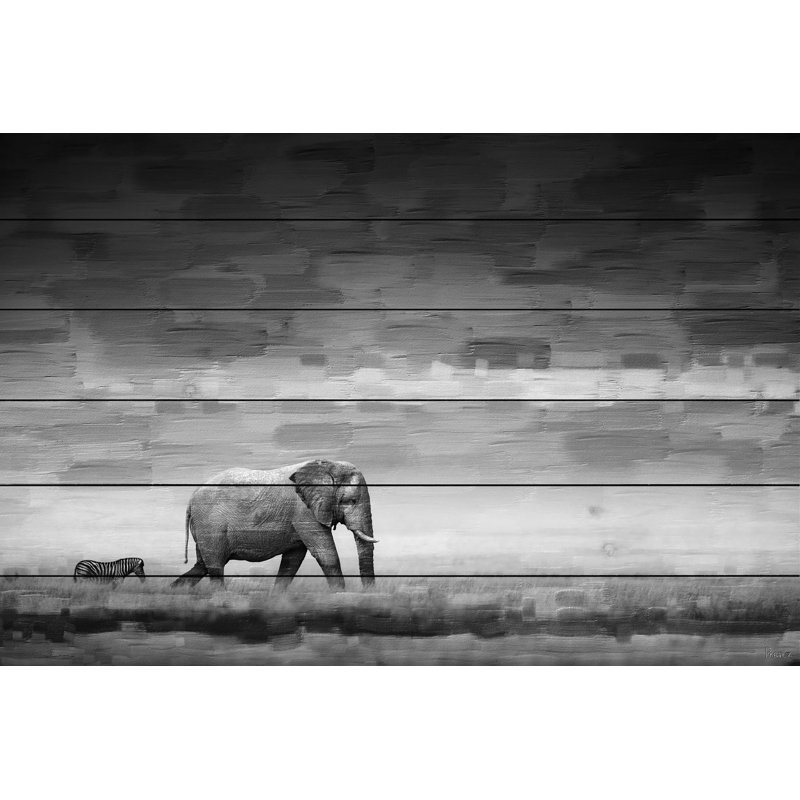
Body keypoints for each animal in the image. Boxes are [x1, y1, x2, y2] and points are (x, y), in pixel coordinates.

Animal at [171, 459, 377, 591]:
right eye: (350, 501)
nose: (369, 595)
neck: (327, 466)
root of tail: (191, 498)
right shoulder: (303, 511)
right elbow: (326, 554)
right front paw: (340, 596)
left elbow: (292, 560)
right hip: (210, 523)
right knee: (214, 567)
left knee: (202, 566)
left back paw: (175, 592)